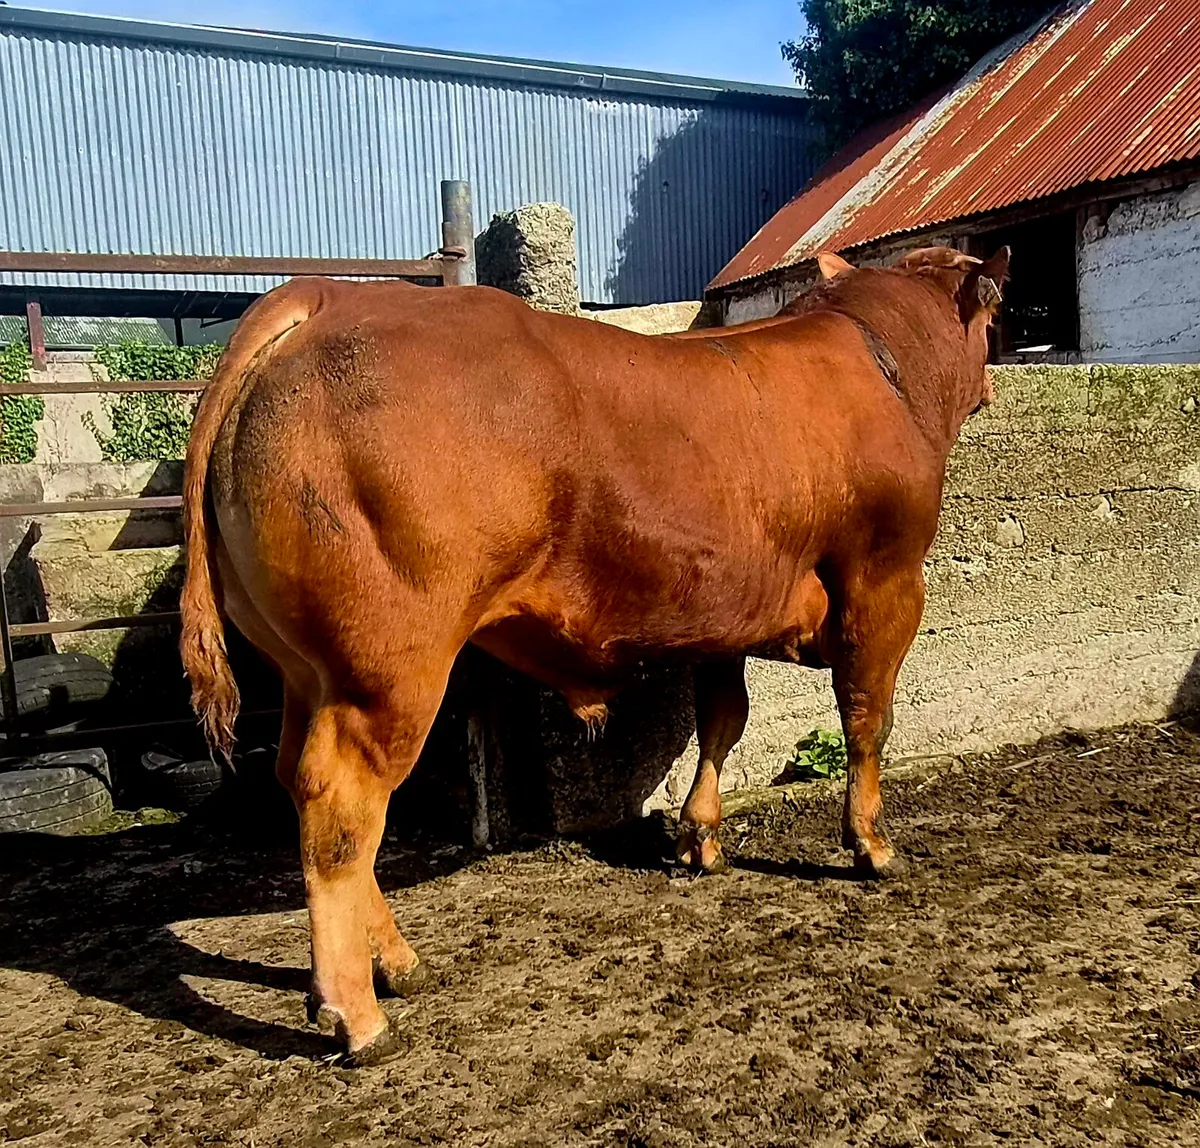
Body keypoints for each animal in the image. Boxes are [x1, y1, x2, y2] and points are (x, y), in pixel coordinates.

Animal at [180, 244, 1009, 1065]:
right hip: (385, 671)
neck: (882, 361)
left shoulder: (725, 614)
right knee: (343, 808)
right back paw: (357, 1013)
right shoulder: (886, 580)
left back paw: (399, 964)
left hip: (306, 671)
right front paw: (871, 845)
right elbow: (866, 718)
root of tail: (332, 296)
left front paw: (700, 839)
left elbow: (723, 719)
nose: (992, 384)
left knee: (301, 783)